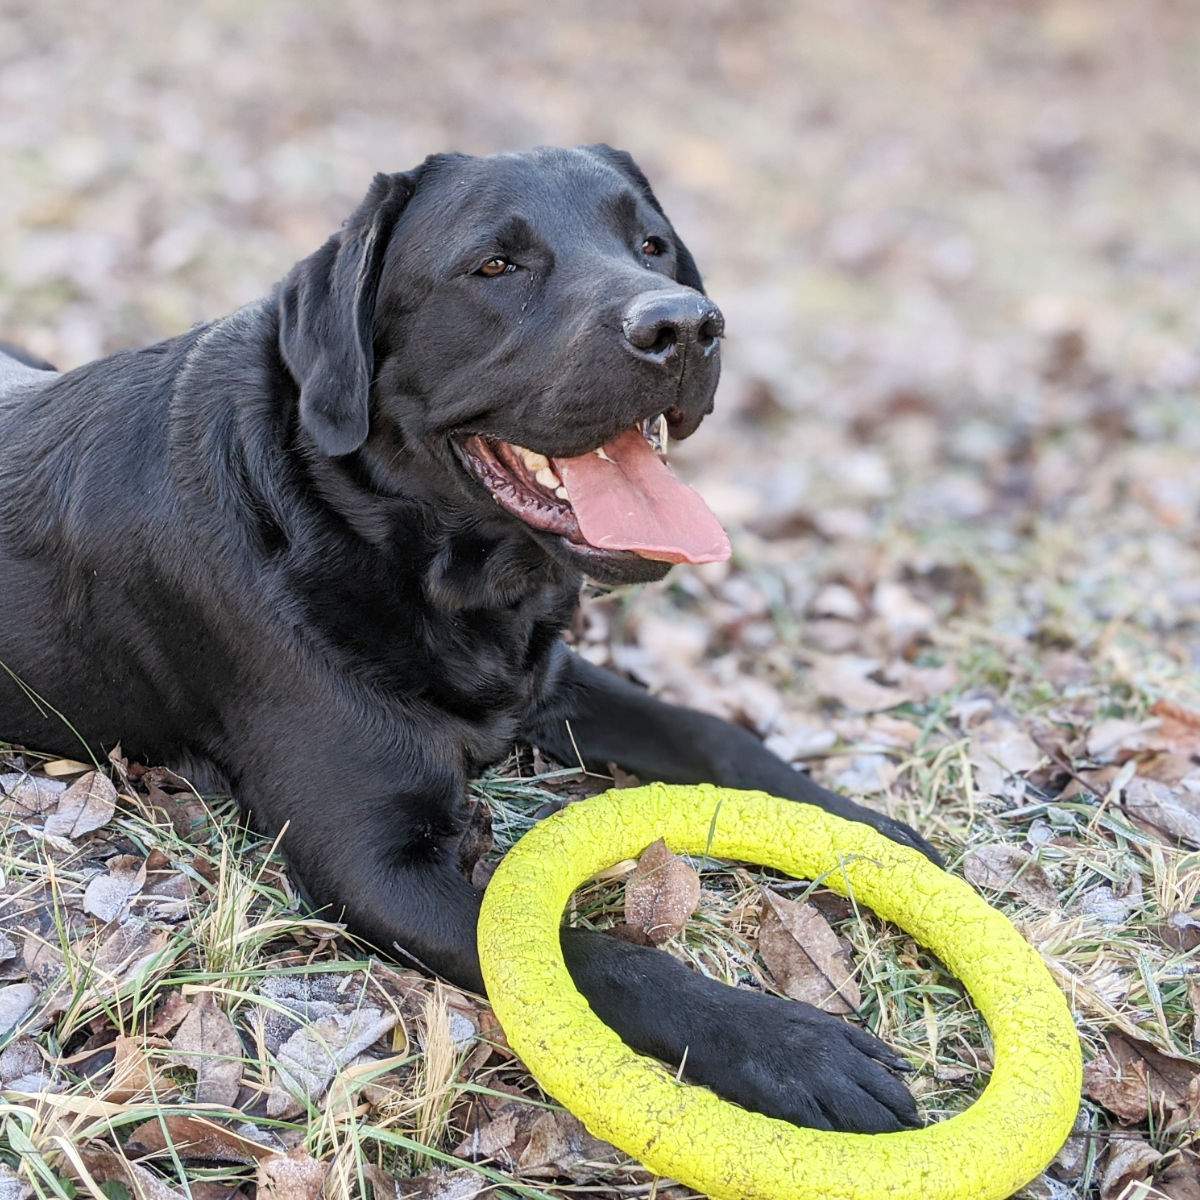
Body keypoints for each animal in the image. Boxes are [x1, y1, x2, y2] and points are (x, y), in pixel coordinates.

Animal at [0, 147, 931, 1132]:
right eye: (494, 266)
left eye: (652, 246)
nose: (685, 325)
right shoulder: (373, 865)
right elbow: (592, 954)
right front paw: (790, 1046)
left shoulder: (542, 682)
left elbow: (708, 732)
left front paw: (872, 834)